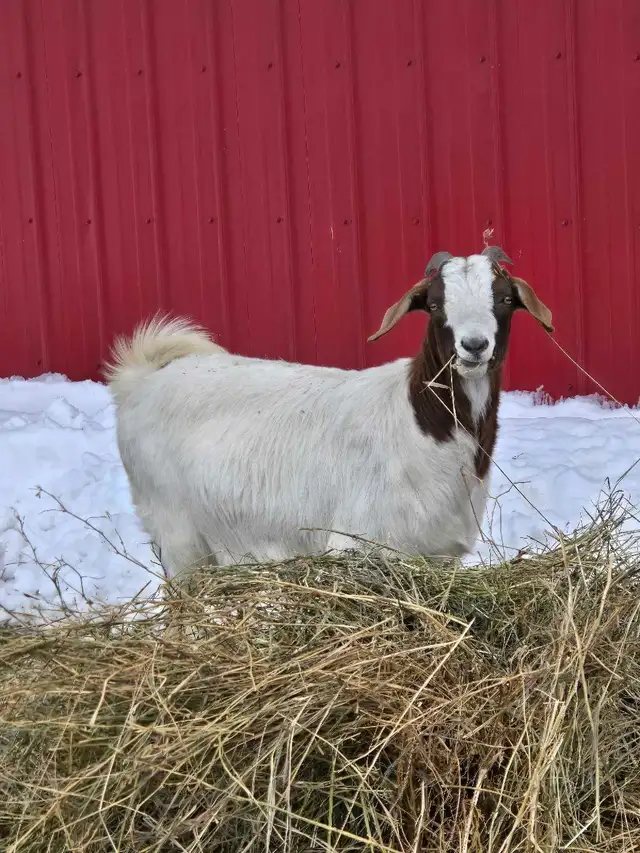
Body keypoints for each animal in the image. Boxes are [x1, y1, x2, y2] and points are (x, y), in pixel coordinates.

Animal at [106, 247, 553, 578]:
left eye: (505, 299)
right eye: (435, 304)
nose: (474, 346)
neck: (422, 425)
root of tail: (143, 378)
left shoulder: (439, 554)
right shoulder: (356, 542)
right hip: (177, 533)